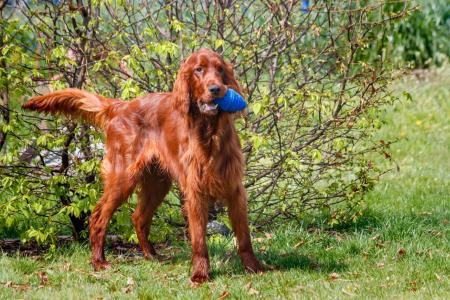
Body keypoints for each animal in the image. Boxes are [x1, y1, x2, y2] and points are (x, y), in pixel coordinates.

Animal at [22, 48, 264, 284]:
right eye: (199, 69)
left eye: (220, 69)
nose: (216, 89)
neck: (209, 132)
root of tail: (121, 106)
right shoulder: (195, 191)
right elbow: (199, 240)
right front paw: (200, 274)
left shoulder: (235, 189)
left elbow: (244, 237)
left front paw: (255, 268)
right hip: (123, 177)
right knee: (99, 216)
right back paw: (99, 262)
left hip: (157, 183)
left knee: (139, 217)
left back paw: (151, 255)